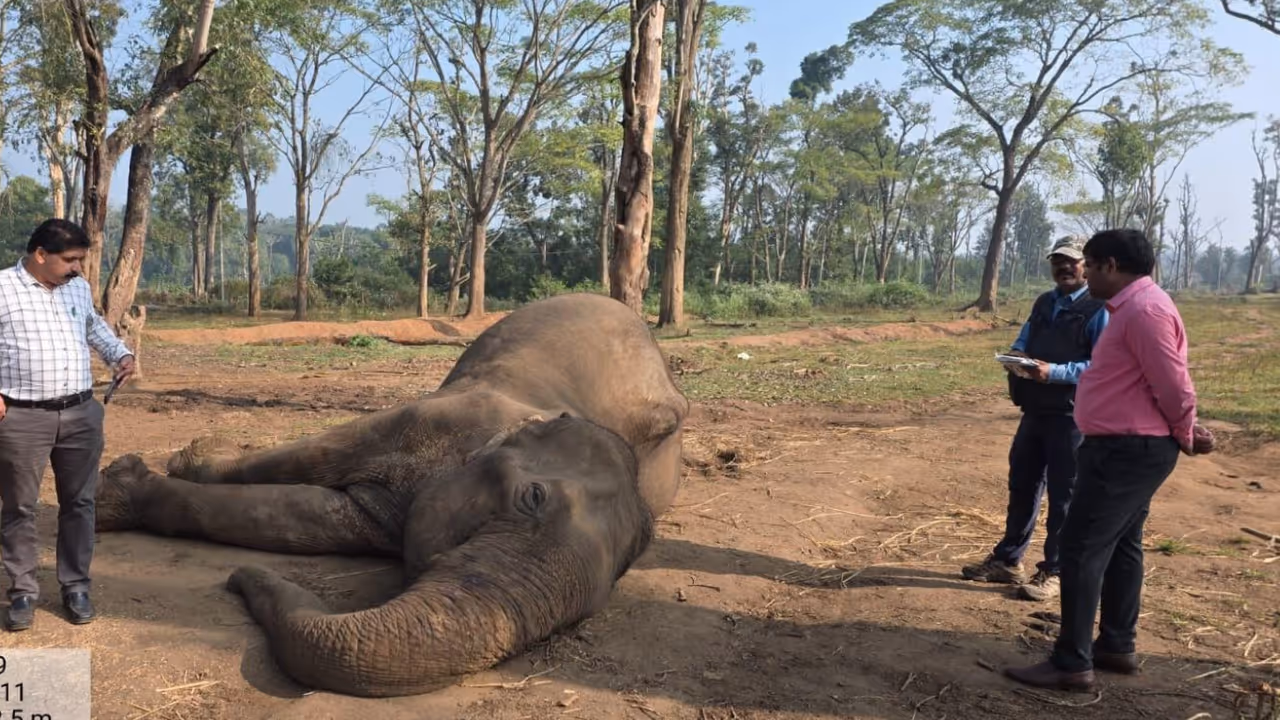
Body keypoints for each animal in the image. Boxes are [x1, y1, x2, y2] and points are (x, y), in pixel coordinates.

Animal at [94, 293, 690, 698]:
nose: (241, 580)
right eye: (534, 498)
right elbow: (315, 457)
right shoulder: (440, 415)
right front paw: (148, 475)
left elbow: (309, 521)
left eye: (587, 612)